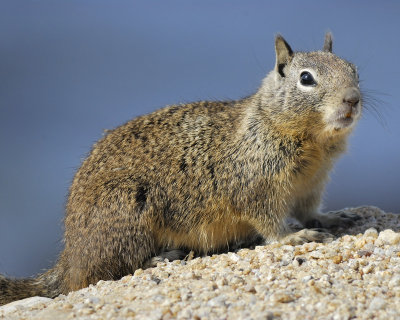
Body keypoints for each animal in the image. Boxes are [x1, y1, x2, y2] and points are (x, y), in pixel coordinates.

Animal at [0, 33, 362, 304]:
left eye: (354, 69)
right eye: (306, 79)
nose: (353, 98)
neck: (313, 143)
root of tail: (68, 259)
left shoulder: (311, 185)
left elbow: (309, 210)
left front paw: (332, 219)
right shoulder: (254, 186)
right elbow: (269, 222)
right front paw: (294, 236)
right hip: (126, 212)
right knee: (105, 272)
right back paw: (161, 257)